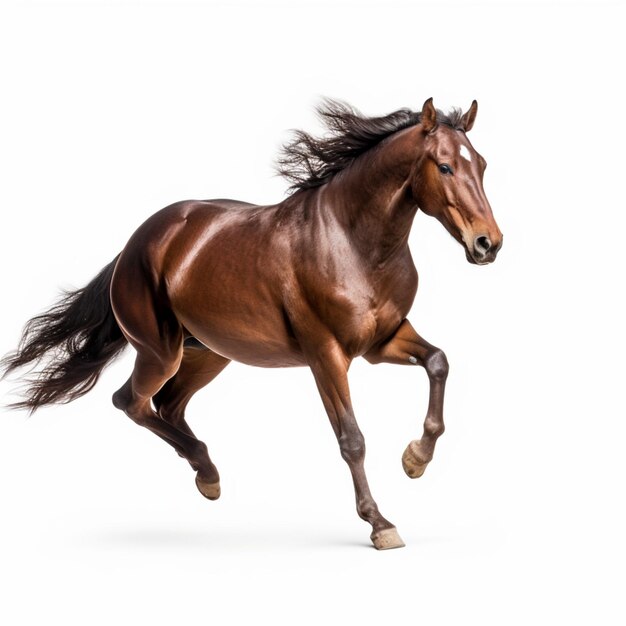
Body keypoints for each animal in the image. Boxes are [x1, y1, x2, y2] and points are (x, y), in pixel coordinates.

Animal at [0, 96, 500, 544]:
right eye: (444, 167)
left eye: (482, 164)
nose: (488, 244)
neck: (353, 242)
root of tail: (134, 245)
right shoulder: (326, 355)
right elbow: (352, 439)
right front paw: (380, 523)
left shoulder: (383, 341)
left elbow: (438, 362)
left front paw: (415, 459)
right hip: (159, 353)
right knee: (131, 402)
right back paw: (206, 468)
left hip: (208, 354)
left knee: (168, 405)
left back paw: (206, 474)